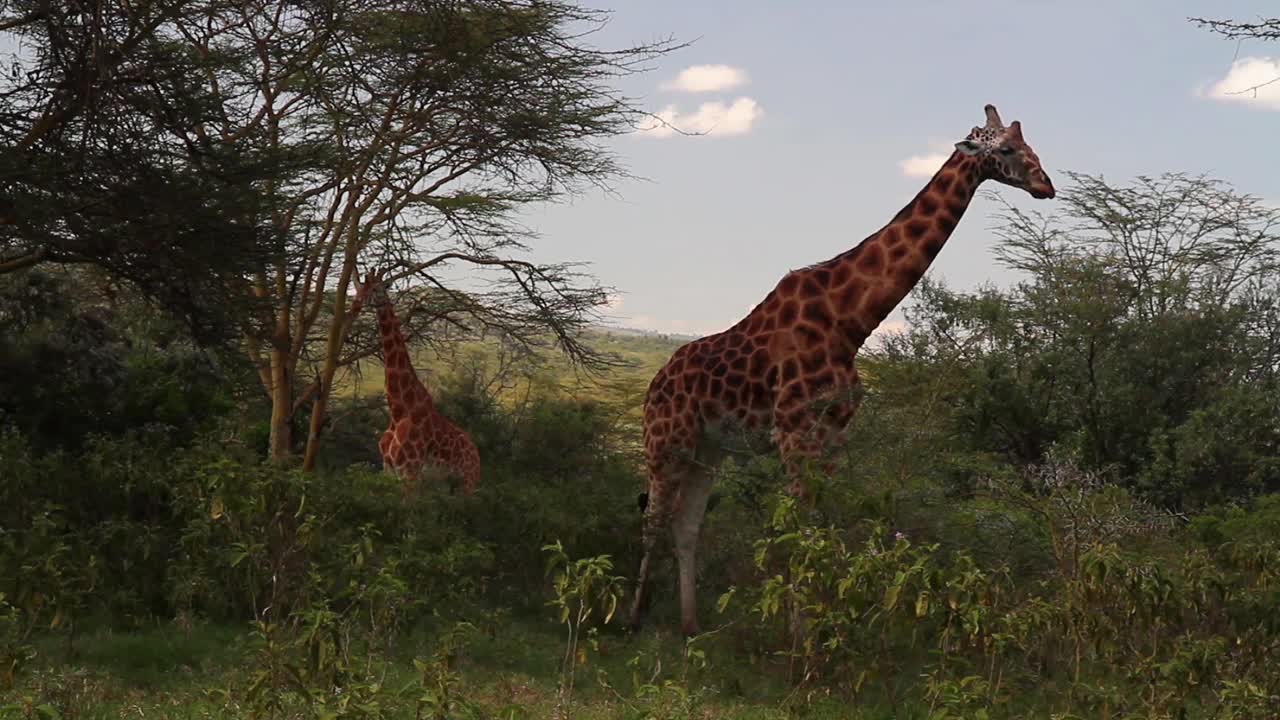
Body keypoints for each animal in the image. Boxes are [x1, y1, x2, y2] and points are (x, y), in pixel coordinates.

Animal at [350, 266, 481, 497]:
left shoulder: (409, 471)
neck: (399, 411)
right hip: (447, 484)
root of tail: (477, 455)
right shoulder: (388, 468)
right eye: (358, 287)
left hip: (468, 482)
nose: (356, 304)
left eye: (376, 289)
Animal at [629, 103, 1059, 630]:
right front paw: (799, 637)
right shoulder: (794, 430)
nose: (1046, 186)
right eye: (1007, 150)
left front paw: (823, 624)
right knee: (654, 520)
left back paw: (690, 627)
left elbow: (822, 524)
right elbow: (798, 527)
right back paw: (632, 619)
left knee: (687, 524)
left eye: (1030, 145)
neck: (850, 319)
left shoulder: (833, 432)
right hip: (667, 441)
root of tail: (654, 384)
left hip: (708, 448)